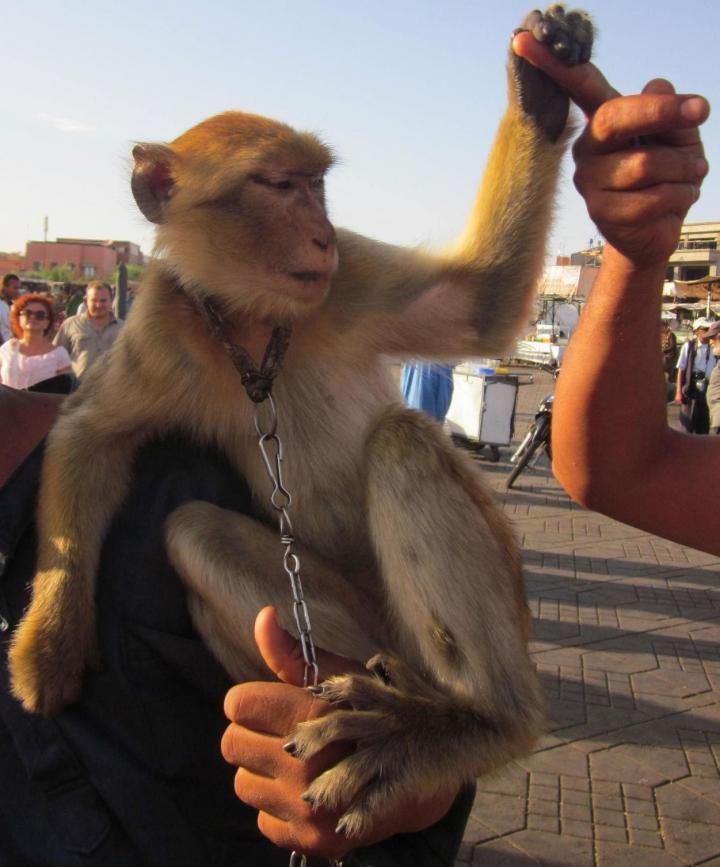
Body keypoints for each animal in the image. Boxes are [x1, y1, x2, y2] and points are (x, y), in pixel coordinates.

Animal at [9, 3, 596, 836]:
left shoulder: (348, 276)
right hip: (364, 616)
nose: (319, 231)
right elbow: (91, 435)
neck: (256, 322)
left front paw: (542, 87)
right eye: (279, 185)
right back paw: (350, 688)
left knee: (402, 440)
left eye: (317, 188)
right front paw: (52, 644)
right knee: (196, 530)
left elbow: (481, 299)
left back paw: (474, 720)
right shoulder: (163, 323)